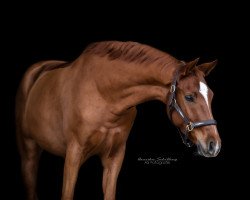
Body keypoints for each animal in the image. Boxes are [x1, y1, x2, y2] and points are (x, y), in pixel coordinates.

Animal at [16, 41, 221, 200]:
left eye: (211, 95)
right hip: (28, 151)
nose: (214, 145)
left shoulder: (114, 157)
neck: (103, 93)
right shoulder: (74, 153)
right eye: (189, 97)